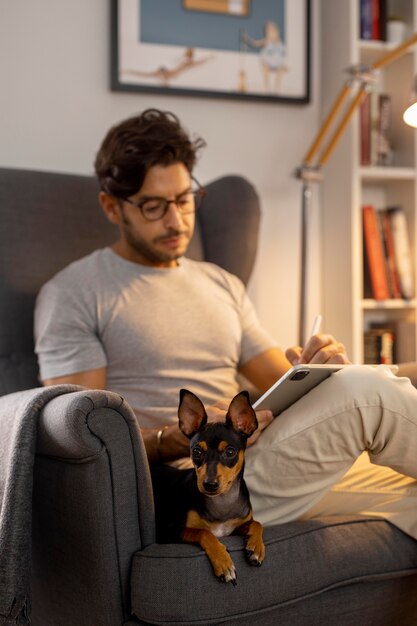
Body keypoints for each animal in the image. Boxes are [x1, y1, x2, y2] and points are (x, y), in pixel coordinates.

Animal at [176, 388, 264, 584]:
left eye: (230, 452)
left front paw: (256, 547)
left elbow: (257, 523)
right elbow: (204, 532)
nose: (209, 484)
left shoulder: (236, 527)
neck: (222, 502)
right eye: (196, 451)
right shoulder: (172, 532)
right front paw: (223, 563)